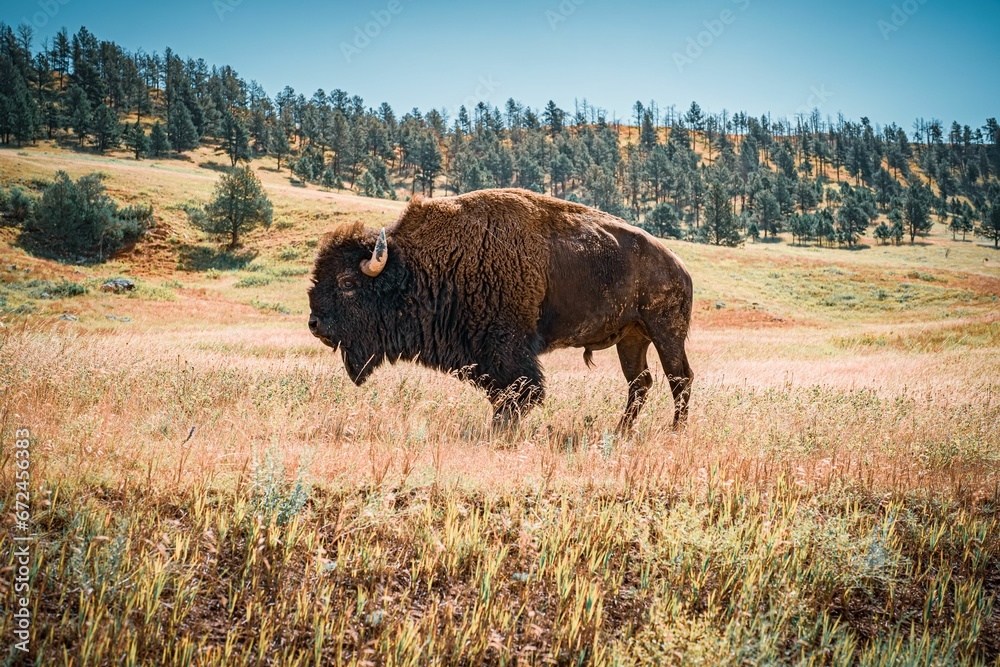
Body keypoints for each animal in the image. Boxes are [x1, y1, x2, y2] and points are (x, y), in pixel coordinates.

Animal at [308, 188, 692, 434]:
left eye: (346, 282)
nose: (314, 324)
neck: (417, 267)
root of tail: (678, 266)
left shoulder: (507, 348)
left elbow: (520, 392)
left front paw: (500, 430)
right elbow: (503, 393)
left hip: (665, 332)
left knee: (679, 378)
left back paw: (675, 430)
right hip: (631, 339)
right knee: (640, 382)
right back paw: (622, 430)